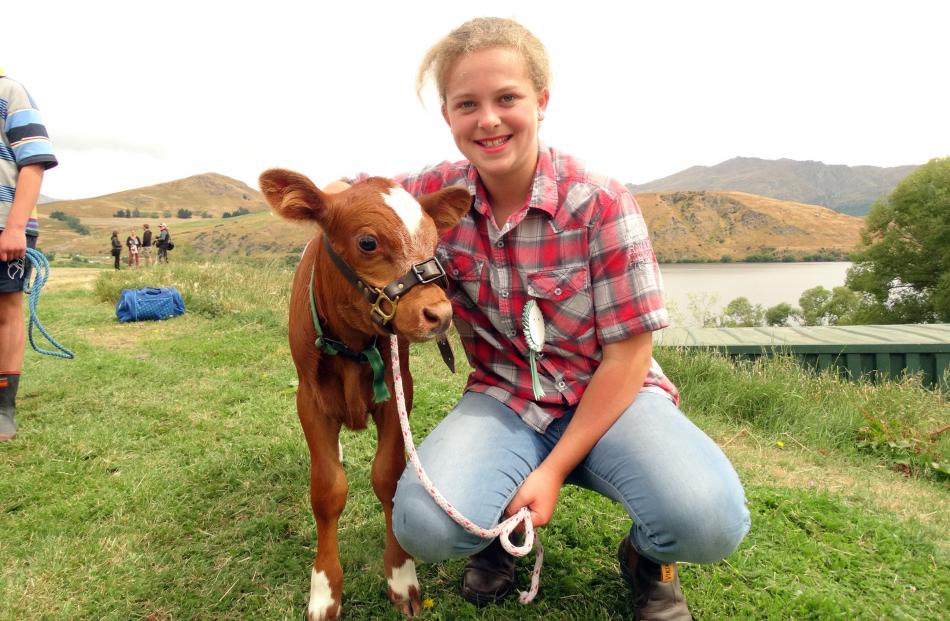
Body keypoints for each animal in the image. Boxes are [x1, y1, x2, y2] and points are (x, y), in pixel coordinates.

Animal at [260, 167, 472, 616]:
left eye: (435, 242)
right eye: (368, 242)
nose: (440, 314)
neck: (353, 345)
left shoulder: (398, 394)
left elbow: (388, 479)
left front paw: (401, 574)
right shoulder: (310, 402)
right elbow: (327, 490)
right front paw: (325, 590)